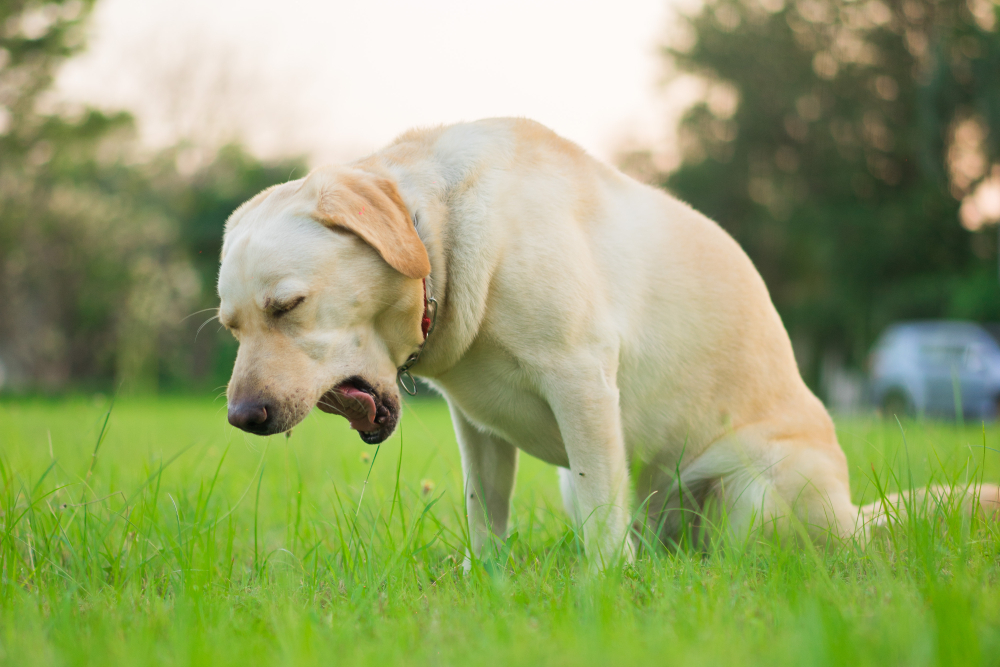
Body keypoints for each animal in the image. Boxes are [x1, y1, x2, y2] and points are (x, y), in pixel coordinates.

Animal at [221, 118, 1000, 564]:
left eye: (288, 306)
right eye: (232, 324)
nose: (243, 417)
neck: (440, 233)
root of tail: (853, 520)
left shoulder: (581, 381)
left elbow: (602, 518)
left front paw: (600, 591)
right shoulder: (477, 427)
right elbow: (486, 511)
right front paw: (488, 579)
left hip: (757, 493)